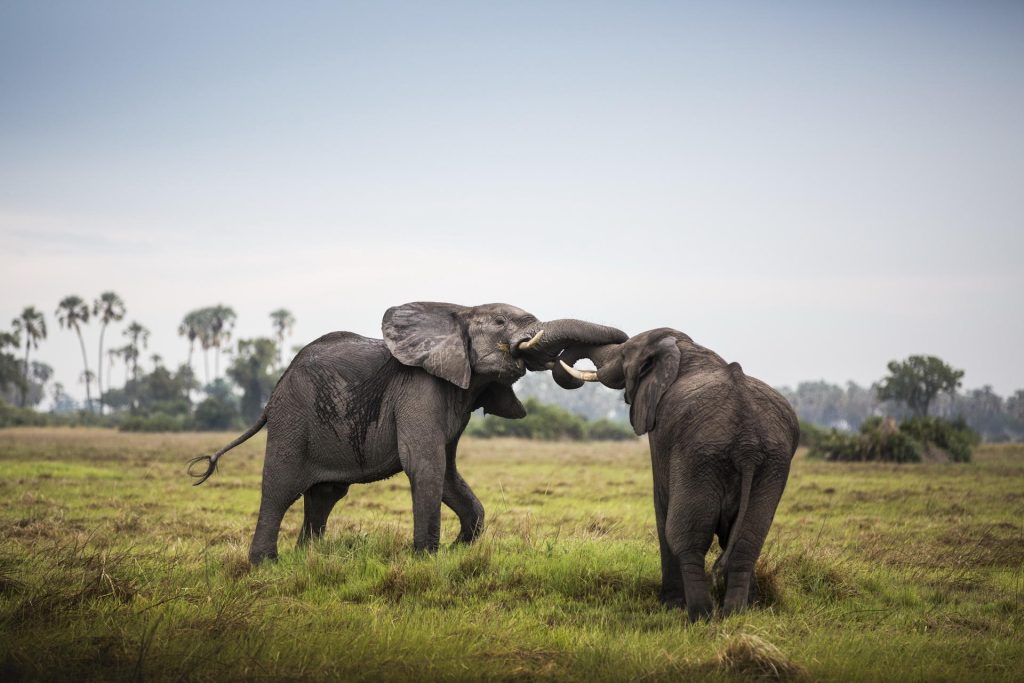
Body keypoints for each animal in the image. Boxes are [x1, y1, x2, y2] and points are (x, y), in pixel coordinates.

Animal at [188, 302, 626, 564]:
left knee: (325, 495)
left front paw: (456, 551)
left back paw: (308, 559)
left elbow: (447, 472)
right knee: (280, 488)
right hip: (292, 418)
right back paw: (266, 564)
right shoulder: (419, 389)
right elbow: (425, 465)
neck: (458, 313)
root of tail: (273, 392)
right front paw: (427, 560)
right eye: (501, 322)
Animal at [558, 328, 799, 622]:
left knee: (688, 537)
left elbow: (662, 506)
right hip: (771, 466)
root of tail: (748, 444)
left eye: (624, 354)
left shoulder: (660, 431)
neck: (685, 349)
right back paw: (736, 615)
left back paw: (699, 616)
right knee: (747, 541)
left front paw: (670, 604)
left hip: (700, 458)